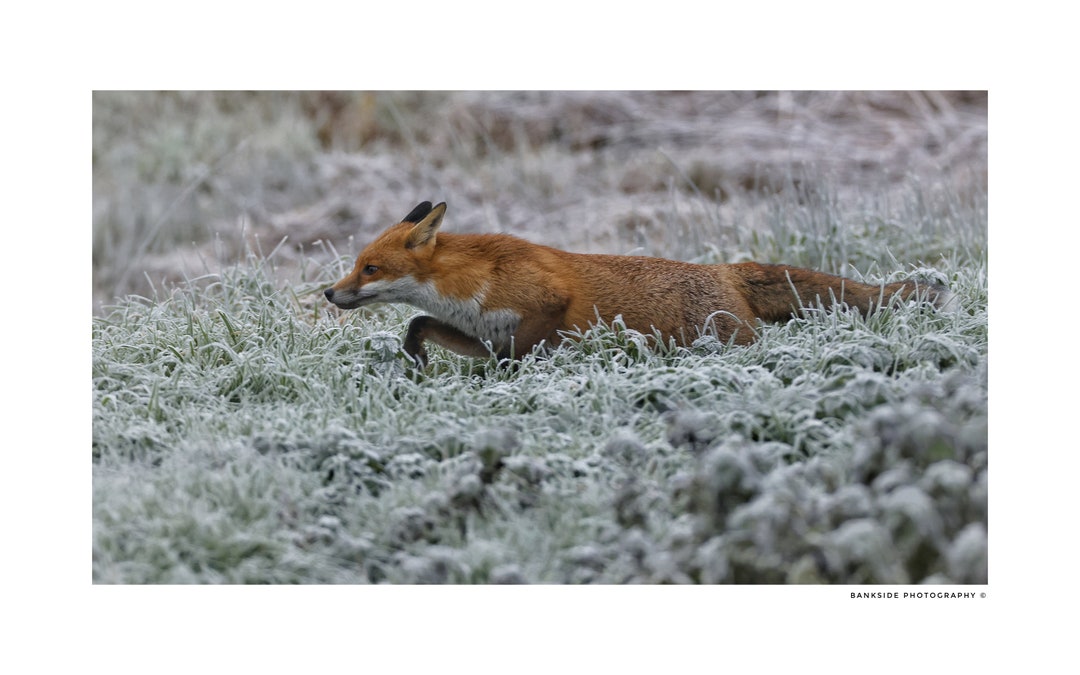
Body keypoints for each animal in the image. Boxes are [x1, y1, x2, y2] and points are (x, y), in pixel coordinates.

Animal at [324, 201, 952, 367]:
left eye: (370, 269)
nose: (330, 293)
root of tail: (725, 269)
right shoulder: (483, 332)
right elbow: (417, 322)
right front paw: (414, 362)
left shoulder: (545, 307)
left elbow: (520, 358)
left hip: (722, 340)